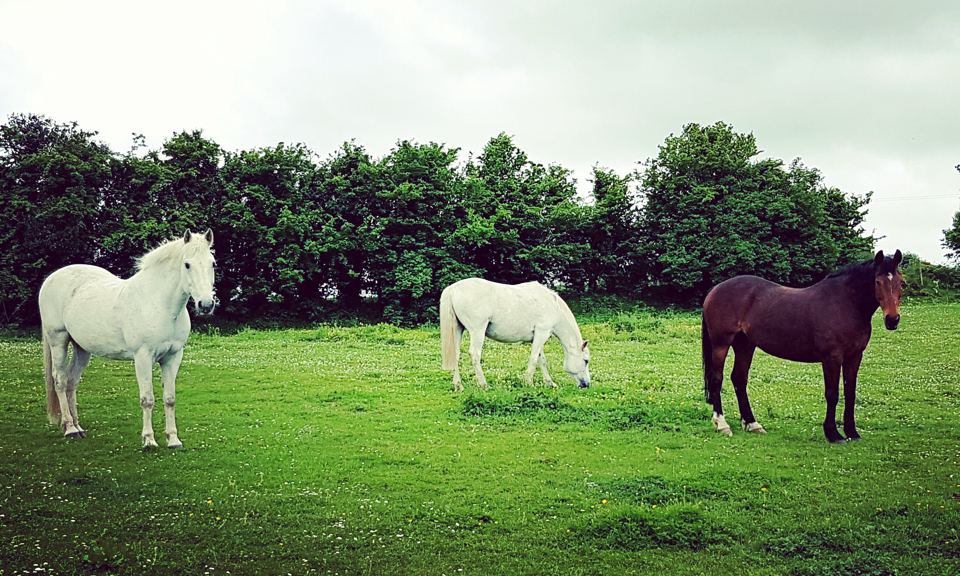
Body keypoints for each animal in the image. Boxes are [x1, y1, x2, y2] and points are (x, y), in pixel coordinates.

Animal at [38, 229, 218, 448]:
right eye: (187, 264)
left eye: (212, 263)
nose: (206, 305)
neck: (158, 304)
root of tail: (52, 278)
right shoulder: (143, 357)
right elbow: (147, 399)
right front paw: (149, 441)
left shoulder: (173, 357)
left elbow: (170, 398)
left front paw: (173, 440)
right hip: (58, 341)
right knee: (61, 380)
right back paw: (70, 428)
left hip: (82, 349)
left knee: (72, 381)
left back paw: (78, 428)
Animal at [439, 278, 591, 392]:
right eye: (586, 361)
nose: (587, 384)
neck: (553, 306)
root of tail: (452, 289)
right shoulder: (542, 333)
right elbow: (534, 359)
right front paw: (529, 382)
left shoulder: (539, 336)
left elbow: (541, 360)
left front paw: (550, 383)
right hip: (477, 331)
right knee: (475, 354)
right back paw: (483, 384)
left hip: (458, 330)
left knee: (456, 355)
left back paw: (458, 386)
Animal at [701, 250, 903, 443]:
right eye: (877, 282)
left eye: (901, 282)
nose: (892, 320)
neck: (846, 304)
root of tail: (715, 290)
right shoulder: (832, 358)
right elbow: (832, 394)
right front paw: (833, 434)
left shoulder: (854, 356)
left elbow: (850, 393)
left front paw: (852, 432)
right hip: (721, 344)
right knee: (717, 379)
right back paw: (722, 424)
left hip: (745, 345)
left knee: (739, 379)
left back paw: (752, 423)